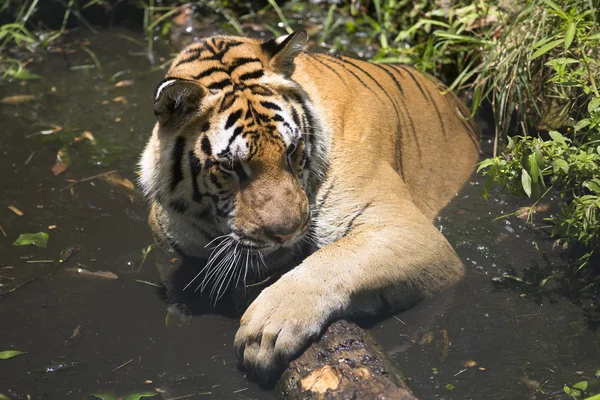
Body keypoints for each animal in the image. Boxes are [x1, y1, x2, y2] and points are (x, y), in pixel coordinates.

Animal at [138, 29, 480, 376]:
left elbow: (334, 259)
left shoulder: (410, 229)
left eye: (291, 151)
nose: (285, 233)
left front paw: (266, 329)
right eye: (231, 166)